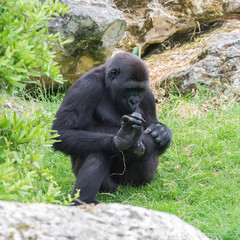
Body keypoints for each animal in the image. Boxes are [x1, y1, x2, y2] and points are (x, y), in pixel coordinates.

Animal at [52, 53, 172, 204]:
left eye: (139, 90)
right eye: (130, 89)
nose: (134, 101)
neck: (107, 84)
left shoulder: (148, 94)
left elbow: (152, 128)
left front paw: (162, 132)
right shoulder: (85, 86)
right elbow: (61, 131)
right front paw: (120, 142)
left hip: (133, 183)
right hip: (109, 185)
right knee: (98, 149)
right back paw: (85, 199)